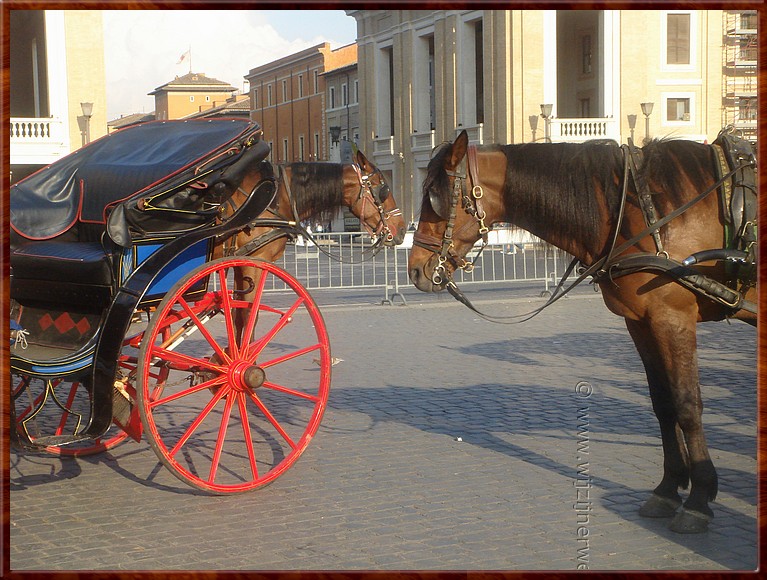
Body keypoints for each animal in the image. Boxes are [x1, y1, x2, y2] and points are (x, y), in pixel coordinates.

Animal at [412, 129, 760, 532]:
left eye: (434, 199)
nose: (416, 269)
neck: (639, 209)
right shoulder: (642, 323)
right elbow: (663, 404)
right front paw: (668, 488)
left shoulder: (673, 318)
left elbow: (687, 404)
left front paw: (699, 498)